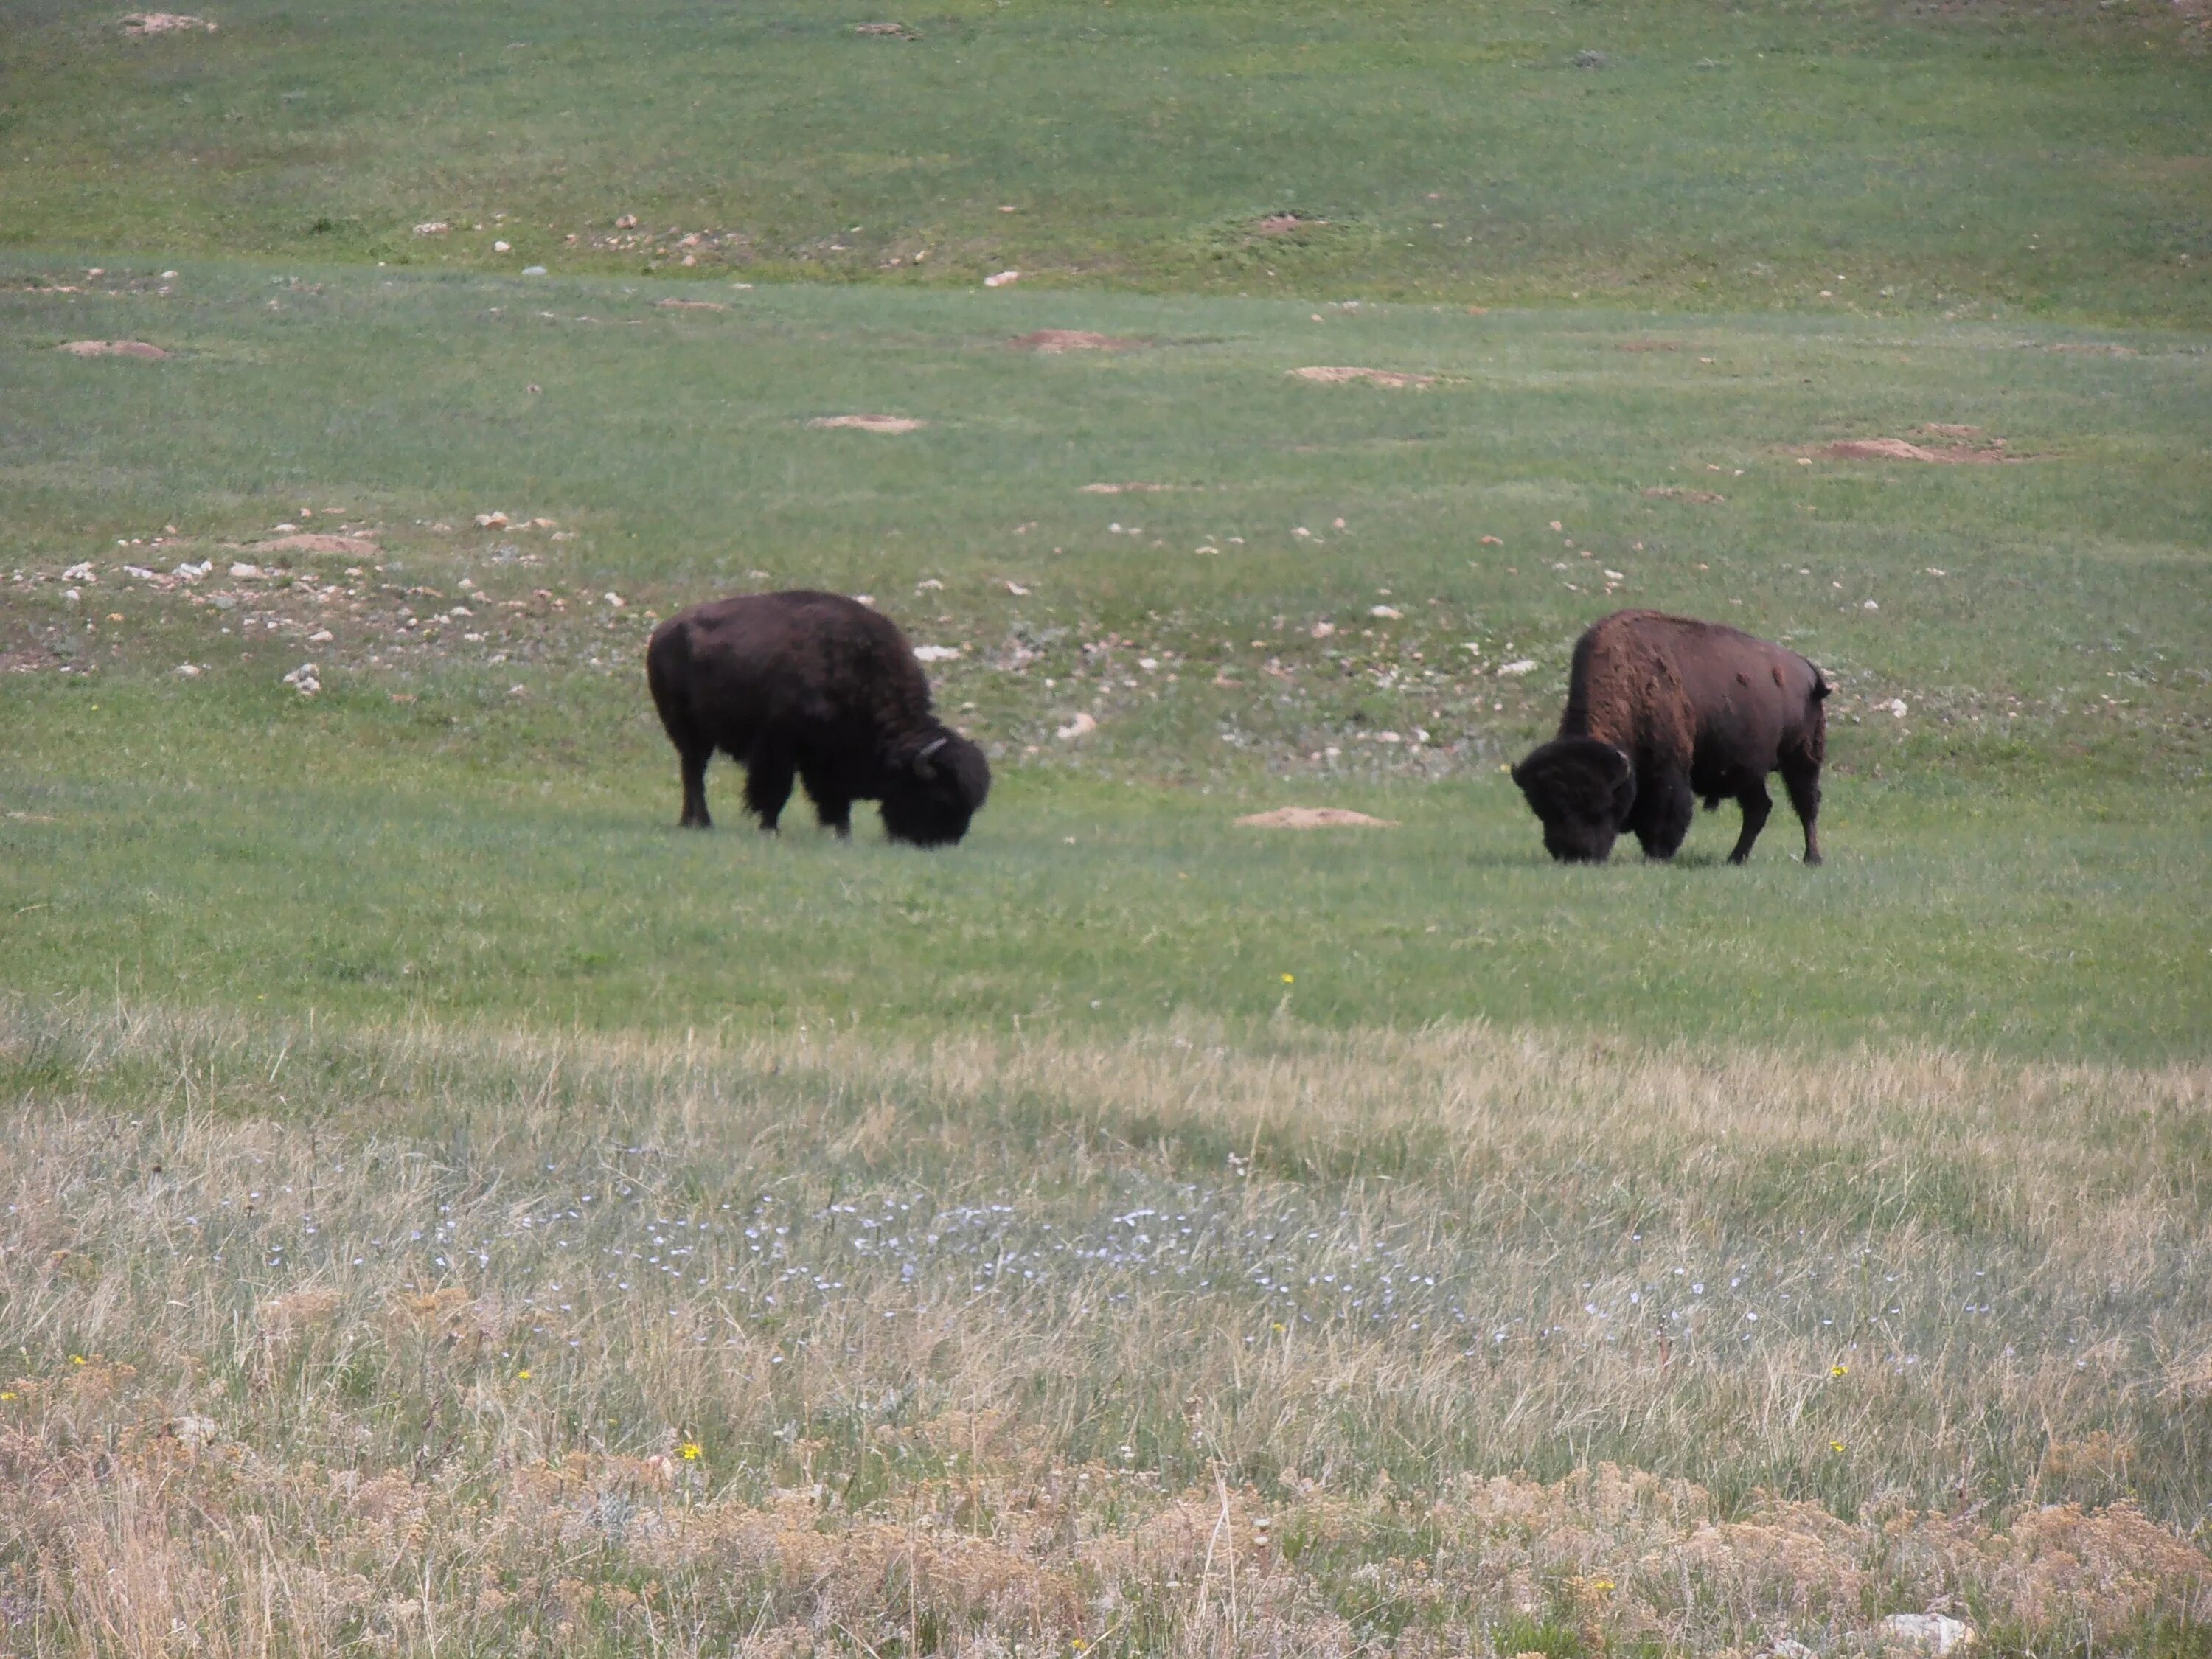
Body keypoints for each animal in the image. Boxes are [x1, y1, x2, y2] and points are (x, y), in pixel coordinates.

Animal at [641, 588, 987, 845]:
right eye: (941, 797)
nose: (943, 841)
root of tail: (663, 632)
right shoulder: (779, 747)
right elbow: (776, 790)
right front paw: (770, 829)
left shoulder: (830, 757)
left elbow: (836, 798)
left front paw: (843, 834)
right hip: (687, 731)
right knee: (694, 773)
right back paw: (701, 823)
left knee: (692, 772)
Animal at [1504, 611, 1832, 872]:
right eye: (1543, 810)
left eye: (1600, 806)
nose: (1574, 855)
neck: (1629, 683)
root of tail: (1807, 670)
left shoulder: (1667, 771)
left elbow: (1667, 813)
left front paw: (1656, 856)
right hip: (1750, 771)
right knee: (1758, 809)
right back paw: (1735, 859)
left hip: (1800, 758)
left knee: (1807, 804)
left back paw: (1812, 859)